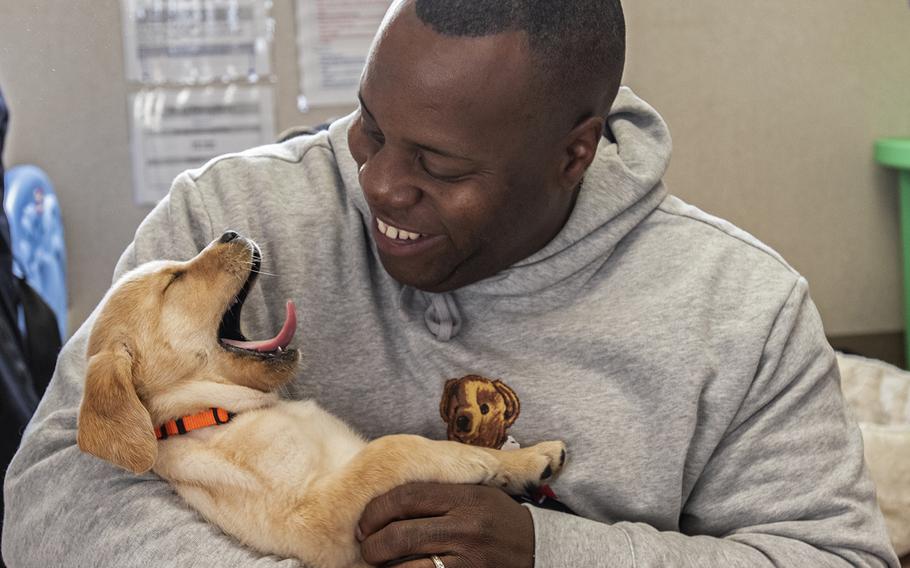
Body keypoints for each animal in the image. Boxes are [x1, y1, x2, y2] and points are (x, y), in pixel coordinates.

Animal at [78, 231, 568, 568]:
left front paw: (526, 460)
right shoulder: (315, 520)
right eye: (174, 281)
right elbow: (394, 448)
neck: (221, 414)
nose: (231, 232)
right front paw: (479, 462)